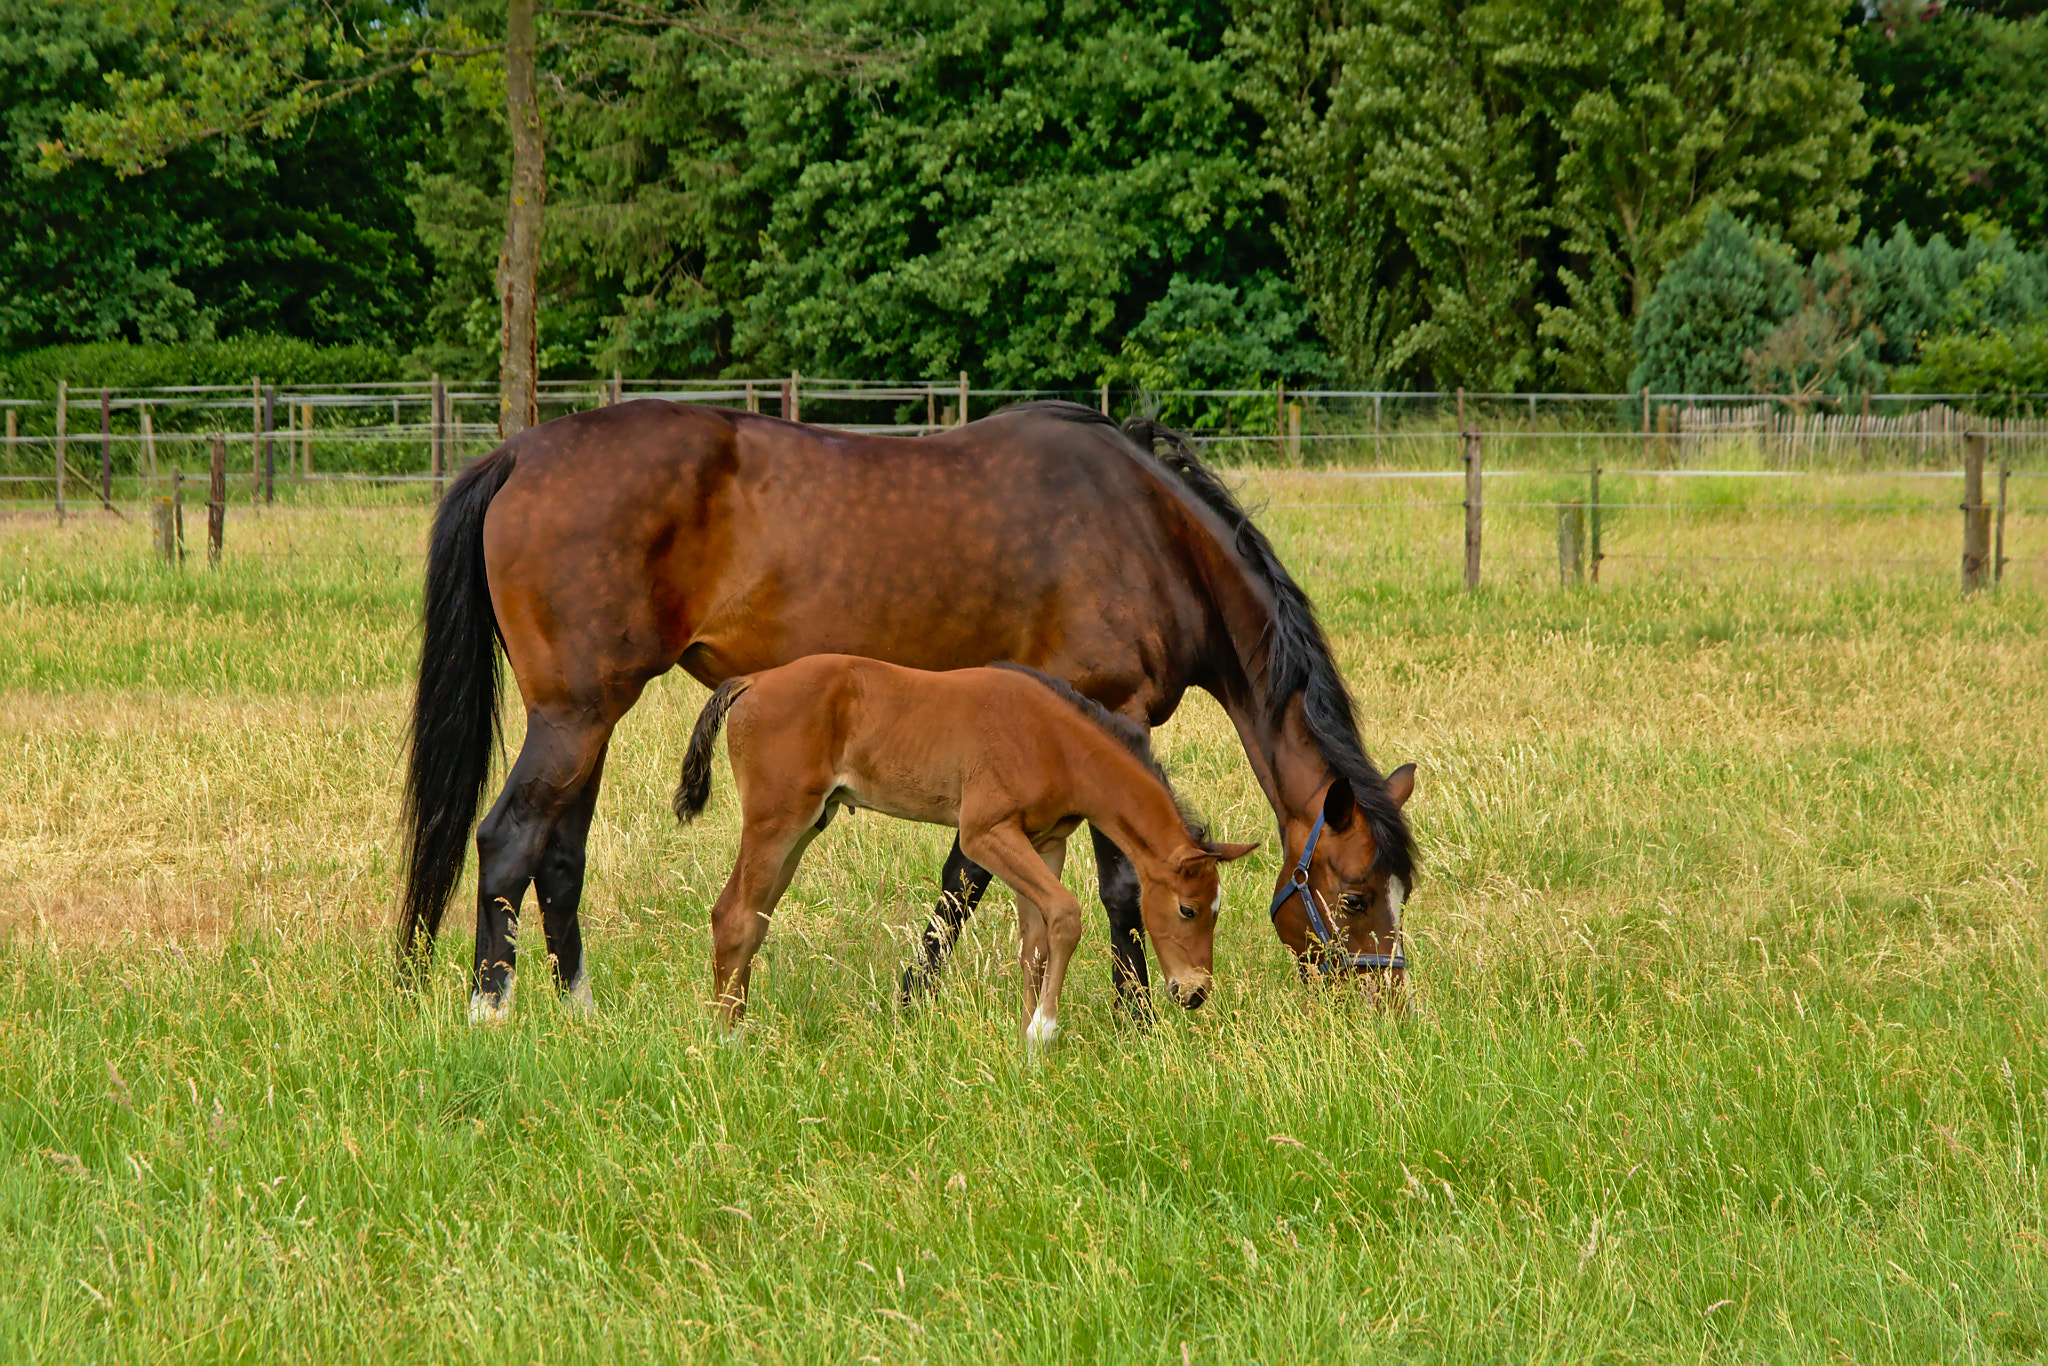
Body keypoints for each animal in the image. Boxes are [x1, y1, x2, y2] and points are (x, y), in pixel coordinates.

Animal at [670, 655, 1256, 1044]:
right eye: (1188, 909)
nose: (1194, 992)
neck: (1054, 739)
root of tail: (752, 682)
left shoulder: (1045, 842)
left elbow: (1036, 943)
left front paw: (1027, 1041)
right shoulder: (984, 833)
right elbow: (1066, 915)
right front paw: (1043, 1030)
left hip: (806, 825)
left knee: (755, 919)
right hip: (776, 820)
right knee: (733, 915)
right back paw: (728, 1041)